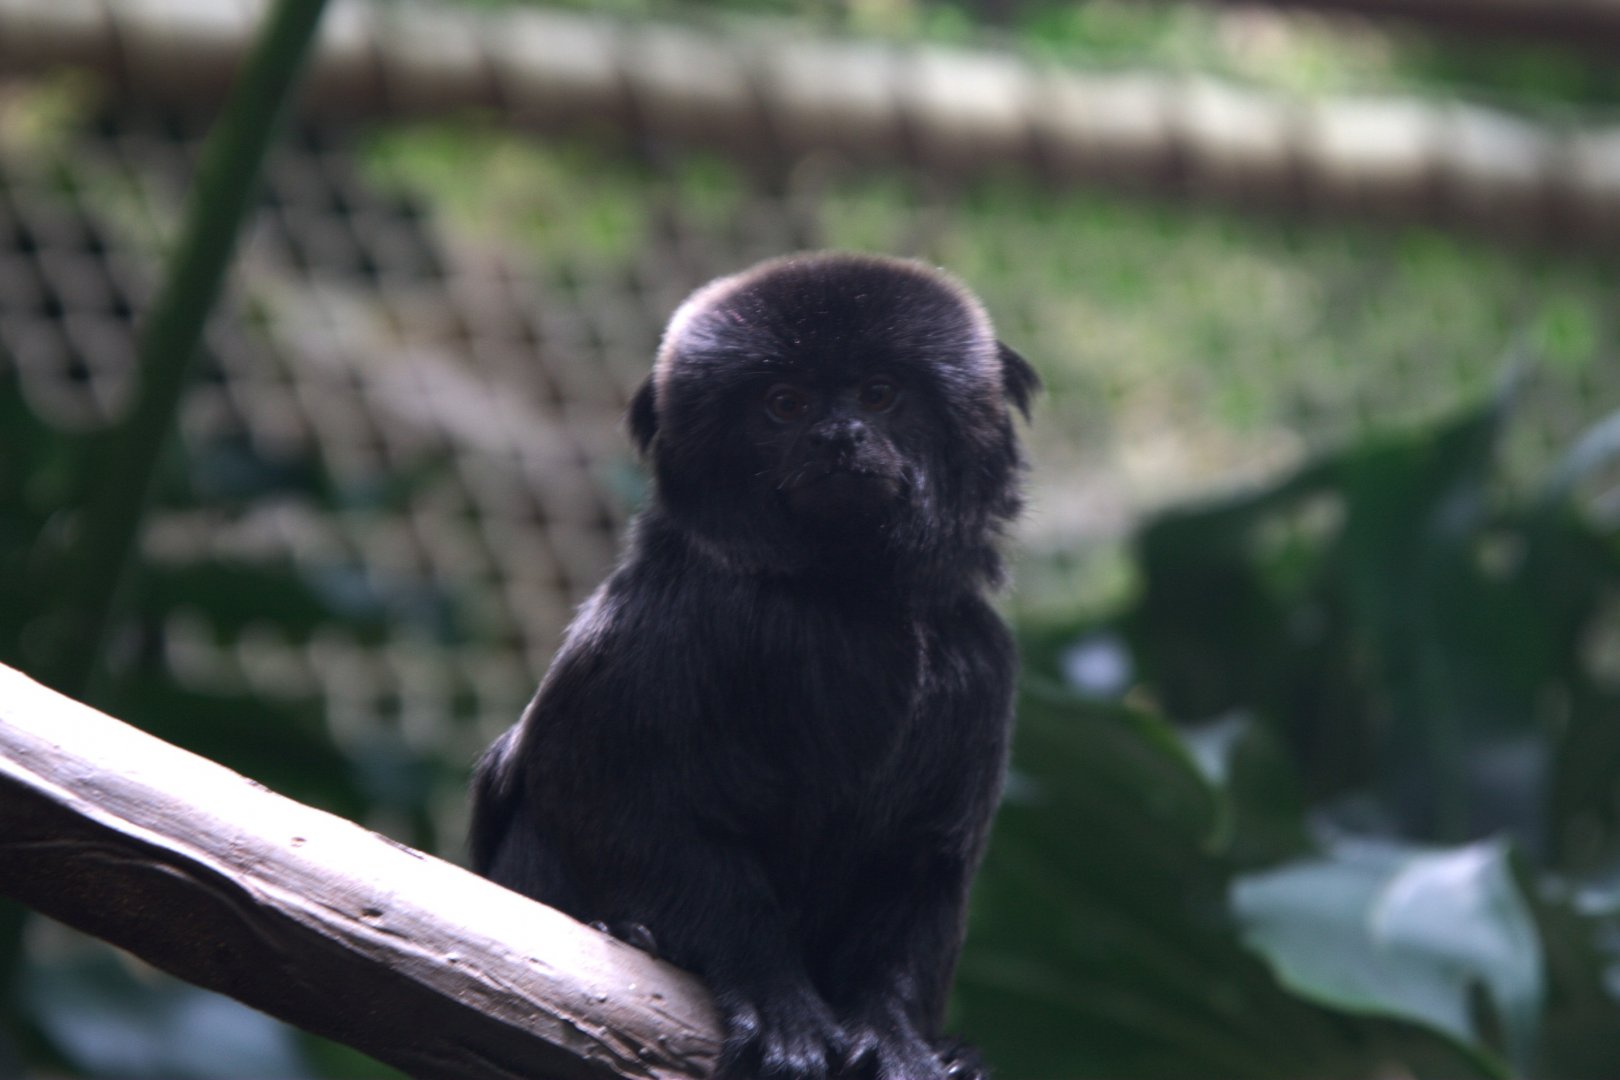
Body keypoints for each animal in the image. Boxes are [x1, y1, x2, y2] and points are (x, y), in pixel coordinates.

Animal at [470, 251, 1038, 1080]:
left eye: (879, 394)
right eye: (785, 405)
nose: (838, 436)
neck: (844, 596)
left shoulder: (979, 670)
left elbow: (921, 867)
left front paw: (896, 1035)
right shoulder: (670, 626)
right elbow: (608, 797)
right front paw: (773, 1001)